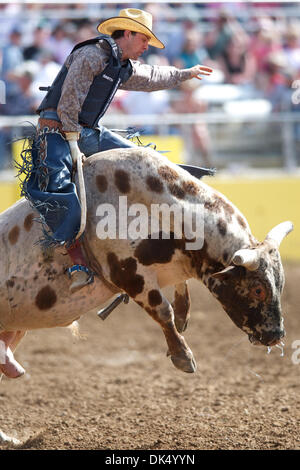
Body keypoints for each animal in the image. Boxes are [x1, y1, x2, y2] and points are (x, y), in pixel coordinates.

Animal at [0, 146, 290, 390]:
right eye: (258, 290)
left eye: (280, 284)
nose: (276, 334)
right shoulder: (130, 275)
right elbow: (163, 311)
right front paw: (182, 355)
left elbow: (181, 292)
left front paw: (183, 316)